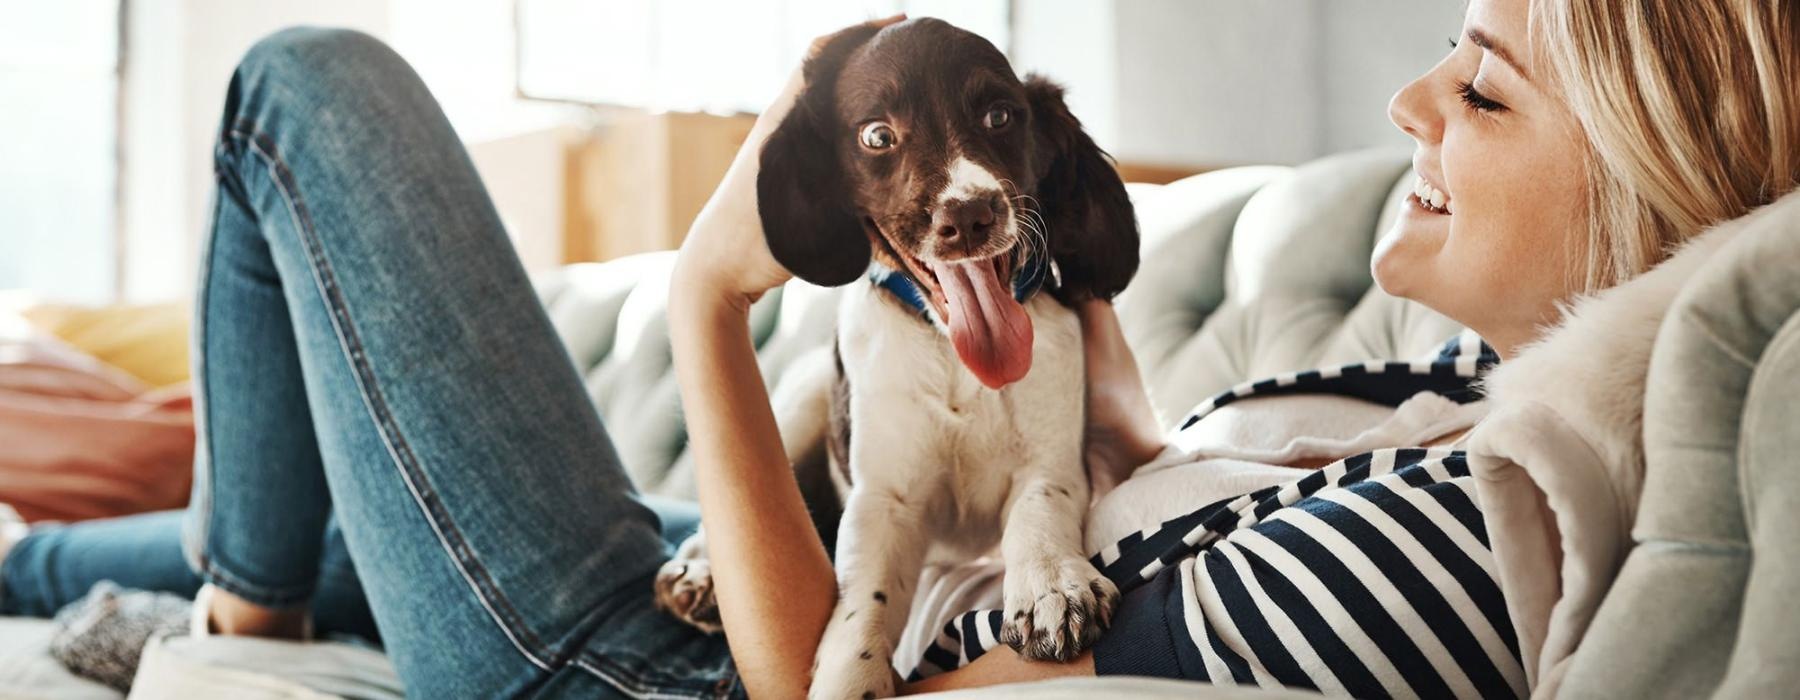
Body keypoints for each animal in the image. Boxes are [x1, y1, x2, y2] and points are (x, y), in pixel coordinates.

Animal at [658, 17, 1137, 698]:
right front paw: (849, 674)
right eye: (877, 136)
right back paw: (697, 570)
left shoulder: (1054, 463)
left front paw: (1051, 583)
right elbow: (864, 604)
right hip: (802, 395)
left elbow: (1038, 510)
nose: (970, 214)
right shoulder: (884, 501)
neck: (951, 351)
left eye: (1000, 116)